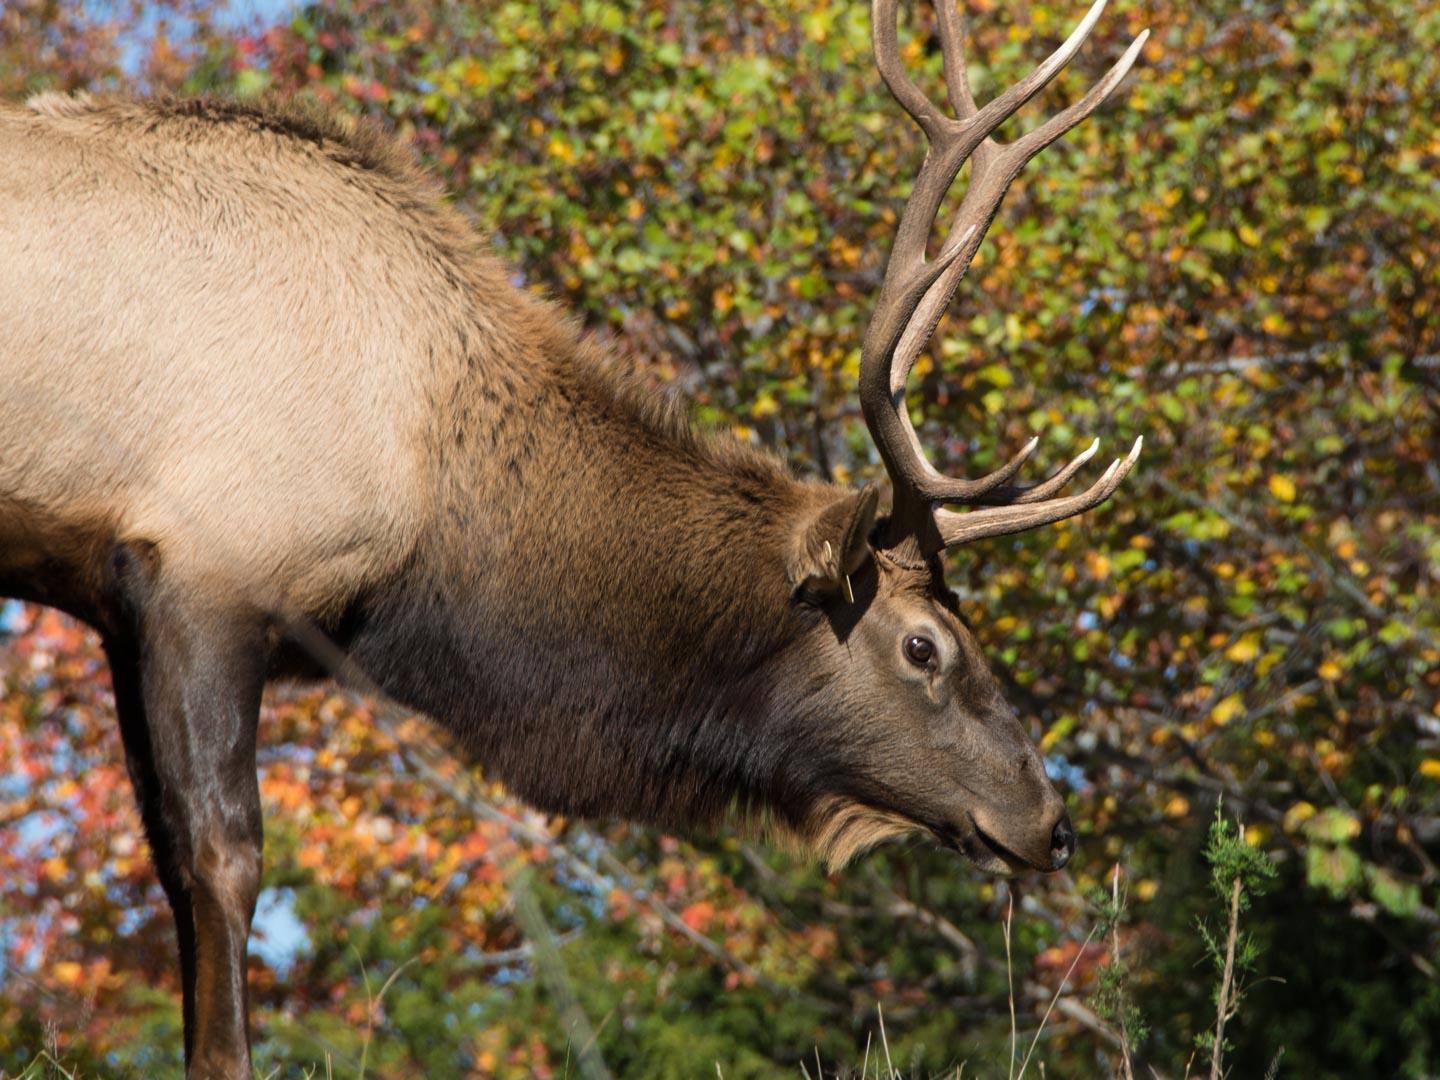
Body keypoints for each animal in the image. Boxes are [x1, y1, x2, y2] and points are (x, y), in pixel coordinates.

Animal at [0, 0, 1145, 1074]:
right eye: (923, 646)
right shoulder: (208, 566)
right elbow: (221, 858)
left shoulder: (117, 604)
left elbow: (167, 859)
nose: (1051, 822)